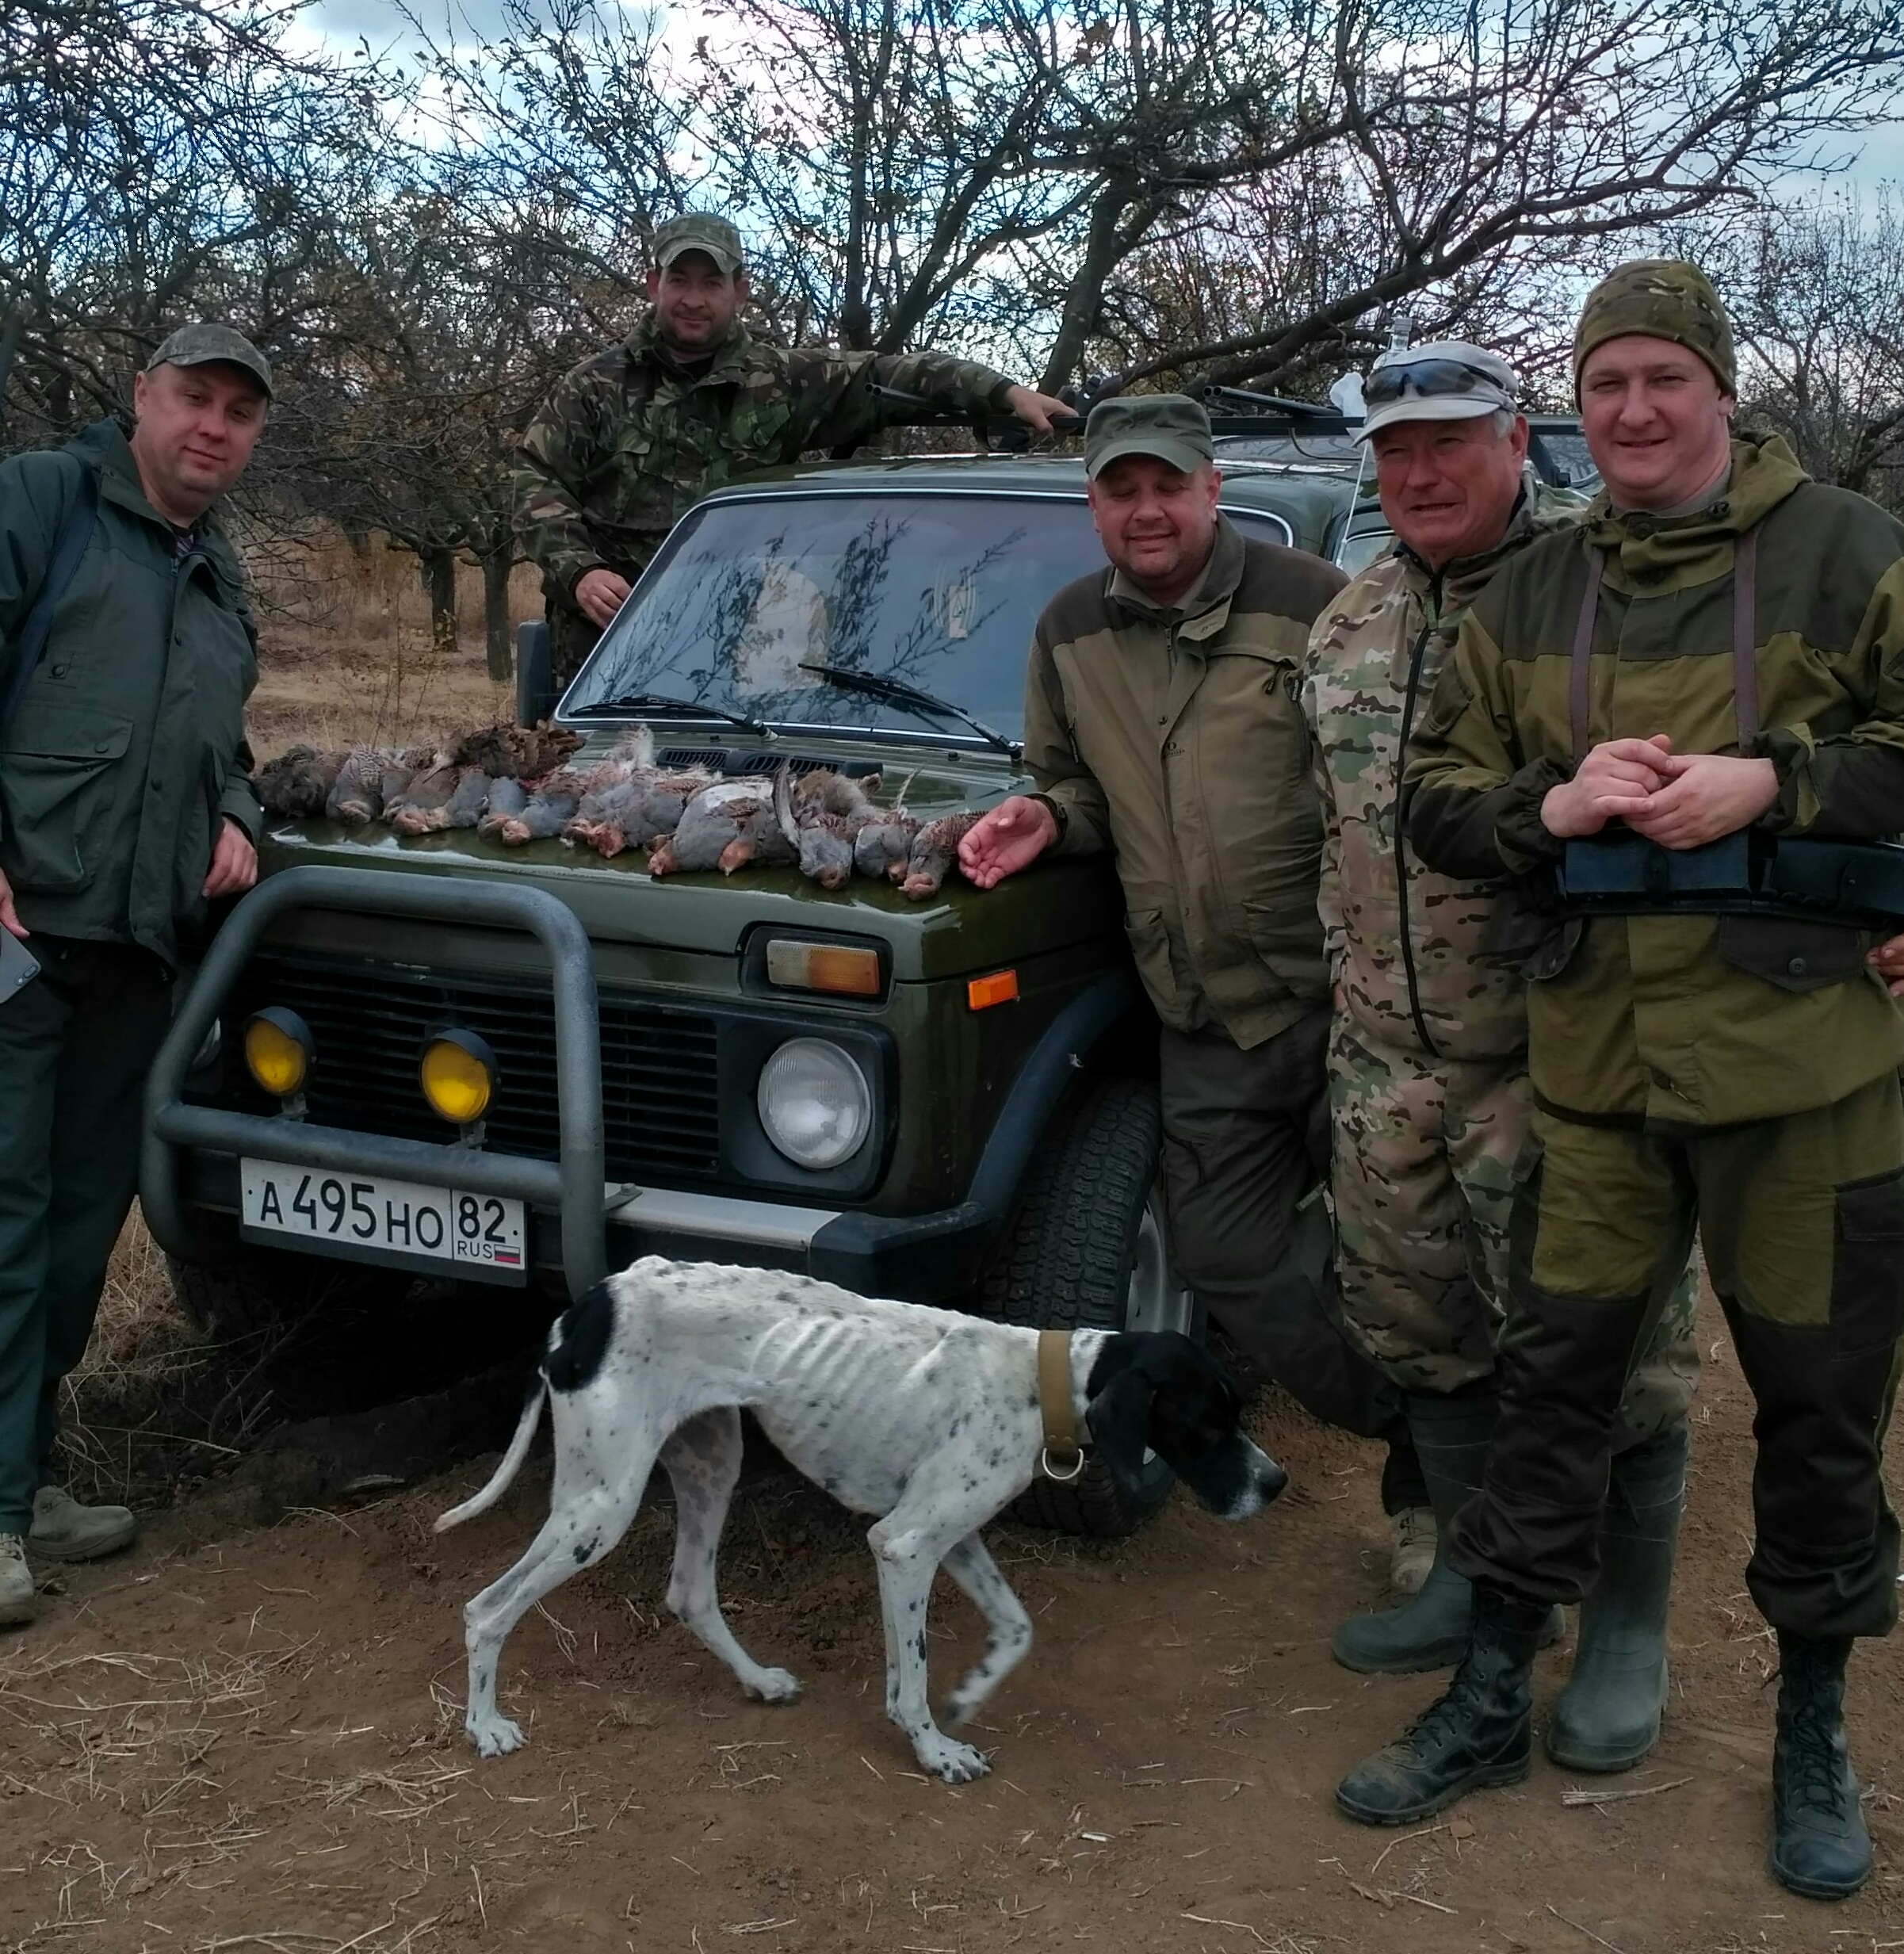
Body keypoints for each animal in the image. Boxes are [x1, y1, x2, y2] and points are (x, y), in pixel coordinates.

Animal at [436, 1257, 1287, 1782]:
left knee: (689, 1592)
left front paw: (968, 1695)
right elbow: (910, 1677)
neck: (1039, 1378)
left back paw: (758, 1680)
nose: (1275, 1484)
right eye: (1208, 1425)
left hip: (710, 1465)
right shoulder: (906, 1544)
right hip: (600, 1506)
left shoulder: (952, 1538)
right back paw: (487, 1727)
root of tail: (589, 1304)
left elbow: (1014, 1629)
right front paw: (935, 1749)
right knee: (485, 1608)